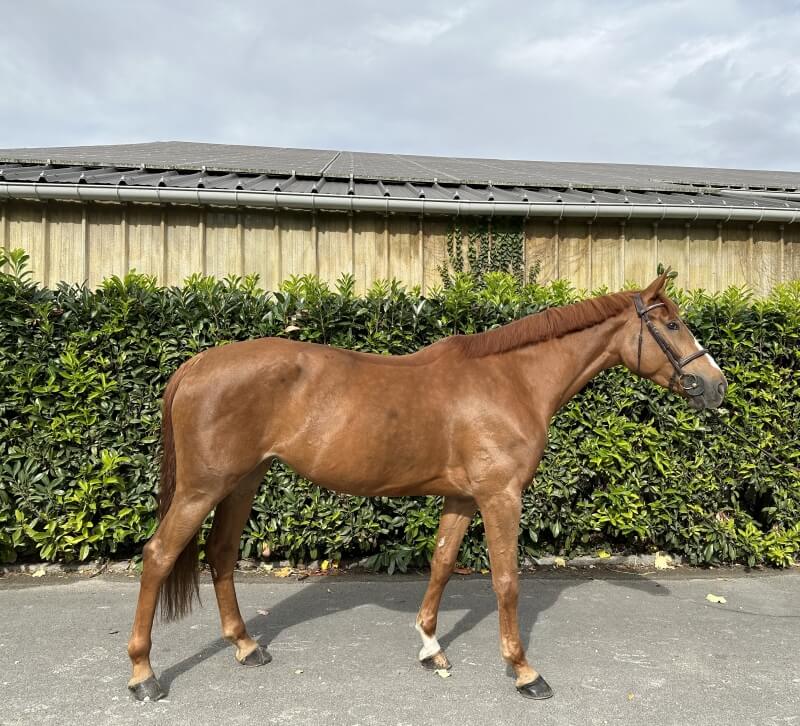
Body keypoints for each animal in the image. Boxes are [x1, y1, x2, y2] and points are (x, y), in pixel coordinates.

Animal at [126, 270, 727, 702]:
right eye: (673, 325)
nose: (716, 387)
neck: (511, 380)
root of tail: (197, 364)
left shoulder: (462, 496)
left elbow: (441, 563)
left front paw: (431, 647)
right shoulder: (500, 497)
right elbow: (506, 581)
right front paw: (524, 671)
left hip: (243, 481)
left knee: (221, 554)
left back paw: (247, 647)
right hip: (204, 487)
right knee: (158, 556)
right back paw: (143, 674)